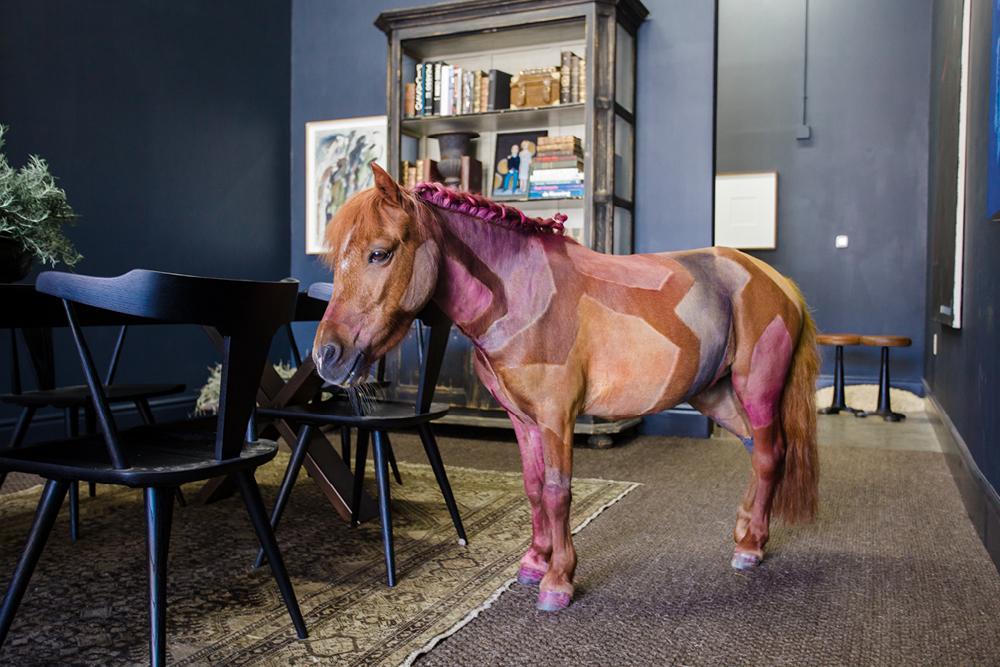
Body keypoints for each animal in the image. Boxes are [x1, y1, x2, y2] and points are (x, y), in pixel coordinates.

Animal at [313, 163, 820, 612]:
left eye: (380, 252)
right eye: (335, 259)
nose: (326, 356)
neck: (522, 296)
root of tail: (778, 283)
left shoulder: (558, 416)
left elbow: (558, 492)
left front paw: (558, 581)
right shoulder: (522, 418)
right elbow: (534, 487)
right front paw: (535, 561)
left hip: (757, 389)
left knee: (771, 454)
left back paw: (752, 547)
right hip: (714, 394)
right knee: (755, 450)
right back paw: (744, 531)